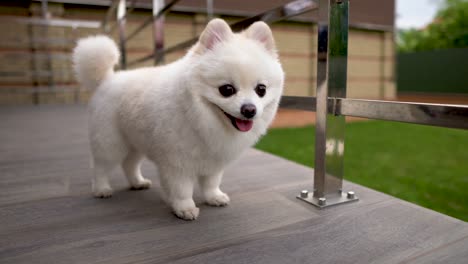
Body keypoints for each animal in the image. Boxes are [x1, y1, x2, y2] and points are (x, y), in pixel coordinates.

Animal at [73, 19, 286, 221]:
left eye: (261, 90)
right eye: (227, 90)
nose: (249, 110)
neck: (201, 119)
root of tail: (107, 79)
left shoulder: (214, 160)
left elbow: (211, 182)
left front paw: (213, 197)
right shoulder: (177, 163)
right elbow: (181, 189)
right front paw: (185, 208)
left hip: (135, 141)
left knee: (129, 164)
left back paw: (137, 182)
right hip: (111, 142)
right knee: (101, 166)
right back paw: (101, 189)